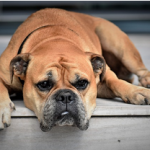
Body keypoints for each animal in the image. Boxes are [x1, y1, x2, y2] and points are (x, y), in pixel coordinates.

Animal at [0, 8, 150, 132]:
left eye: (82, 83)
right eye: (44, 84)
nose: (65, 96)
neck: (55, 39)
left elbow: (116, 82)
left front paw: (137, 91)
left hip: (119, 46)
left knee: (140, 70)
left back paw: (146, 82)